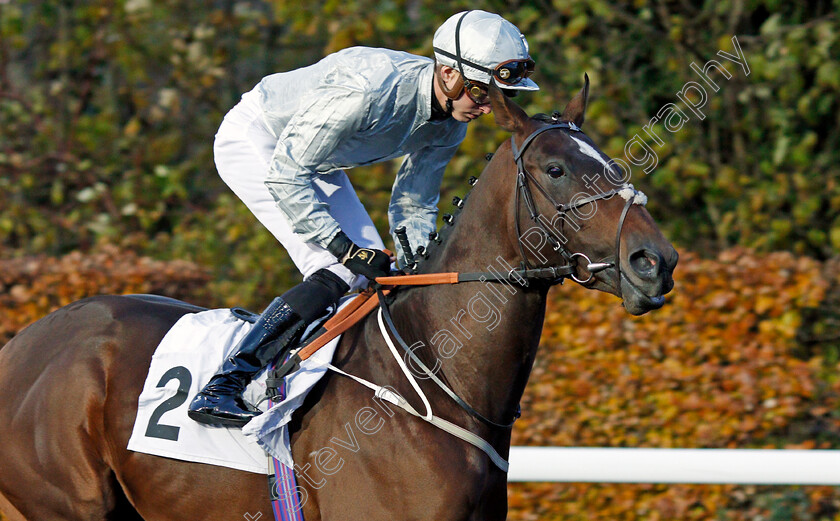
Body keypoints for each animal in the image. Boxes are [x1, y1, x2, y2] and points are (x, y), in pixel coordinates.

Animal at [0, 77, 676, 520]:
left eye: (610, 161)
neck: (435, 380)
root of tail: (23, 342)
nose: (656, 261)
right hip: (66, 503)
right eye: (557, 170)